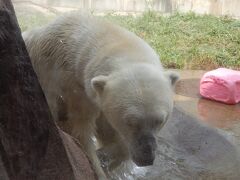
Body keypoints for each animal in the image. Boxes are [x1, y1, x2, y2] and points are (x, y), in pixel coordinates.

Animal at [23, 13, 178, 179]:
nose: (146, 157)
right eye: (130, 122)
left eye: (160, 120)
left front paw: (114, 159)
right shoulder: (75, 88)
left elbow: (107, 131)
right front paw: (99, 168)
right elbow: (83, 131)